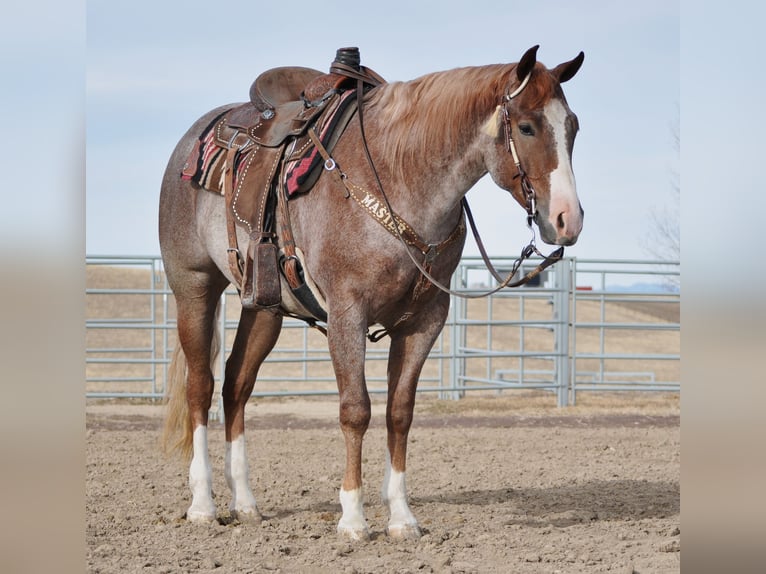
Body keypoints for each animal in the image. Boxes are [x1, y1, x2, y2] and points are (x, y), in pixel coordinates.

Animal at [159, 45, 584, 541]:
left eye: (572, 126)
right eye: (527, 126)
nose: (568, 219)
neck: (399, 173)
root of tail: (192, 140)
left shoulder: (425, 320)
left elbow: (399, 412)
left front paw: (401, 516)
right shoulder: (348, 313)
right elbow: (355, 409)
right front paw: (353, 517)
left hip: (264, 307)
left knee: (236, 385)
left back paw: (245, 502)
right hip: (194, 287)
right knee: (201, 386)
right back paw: (203, 504)